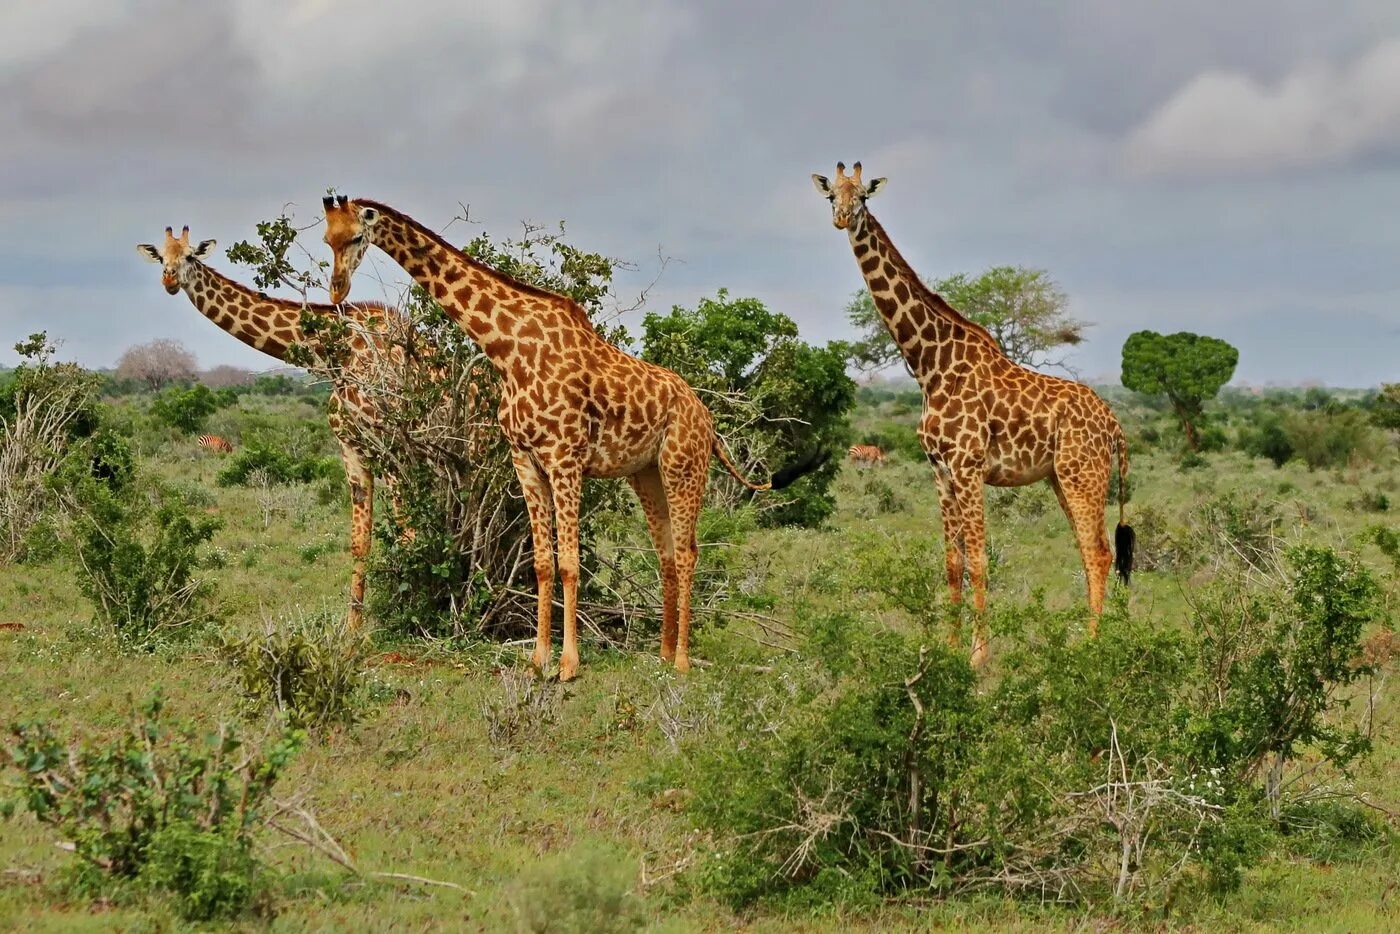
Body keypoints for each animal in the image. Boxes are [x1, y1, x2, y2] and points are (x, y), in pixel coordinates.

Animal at [142, 225, 428, 627]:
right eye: (161, 257)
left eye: (190, 256)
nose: (168, 279)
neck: (338, 353)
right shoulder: (352, 450)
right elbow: (360, 543)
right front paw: (352, 629)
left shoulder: (392, 448)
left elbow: (407, 535)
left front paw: (410, 617)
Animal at [322, 196, 772, 680]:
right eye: (326, 238)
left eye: (355, 236)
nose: (337, 291)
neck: (507, 348)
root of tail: (706, 418)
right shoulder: (525, 460)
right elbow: (541, 563)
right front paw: (538, 658)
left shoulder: (565, 458)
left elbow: (570, 564)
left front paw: (569, 663)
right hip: (647, 474)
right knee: (667, 552)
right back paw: (663, 653)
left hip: (683, 465)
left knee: (688, 552)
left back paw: (684, 660)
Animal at [817, 164, 1131, 669]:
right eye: (832, 196)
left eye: (863, 196)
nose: (843, 218)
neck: (929, 365)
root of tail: (1116, 426)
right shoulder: (940, 470)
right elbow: (953, 562)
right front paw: (947, 649)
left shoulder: (968, 465)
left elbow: (981, 558)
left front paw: (979, 657)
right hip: (1061, 478)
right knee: (1090, 551)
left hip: (1083, 474)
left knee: (1100, 552)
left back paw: (1092, 646)